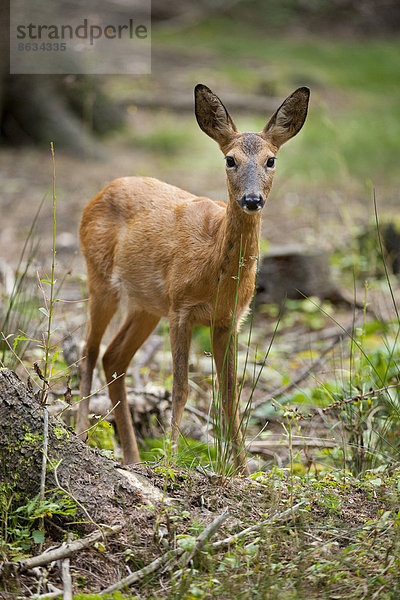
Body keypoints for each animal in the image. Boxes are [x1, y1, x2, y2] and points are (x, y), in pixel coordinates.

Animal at [76, 84, 310, 476]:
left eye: (271, 160)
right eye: (230, 159)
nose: (251, 199)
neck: (216, 273)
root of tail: (101, 191)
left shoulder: (228, 320)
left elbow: (230, 395)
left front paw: (243, 471)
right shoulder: (181, 308)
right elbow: (181, 387)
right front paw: (171, 460)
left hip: (147, 305)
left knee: (114, 358)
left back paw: (133, 458)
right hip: (101, 278)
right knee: (89, 351)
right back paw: (80, 436)